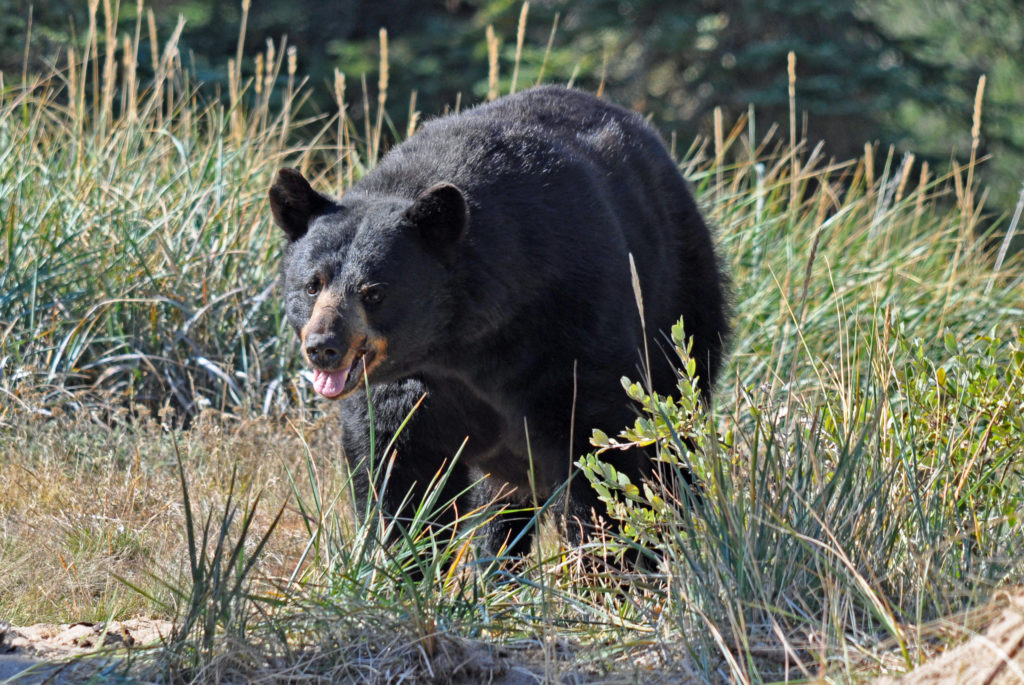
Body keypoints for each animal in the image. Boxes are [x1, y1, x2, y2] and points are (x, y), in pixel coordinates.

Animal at [268, 85, 728, 563]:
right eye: (312, 284)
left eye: (374, 292)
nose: (324, 346)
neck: (460, 345)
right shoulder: (406, 392)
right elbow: (398, 472)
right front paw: (406, 560)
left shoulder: (572, 328)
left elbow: (599, 451)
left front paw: (611, 560)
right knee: (503, 502)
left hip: (680, 305)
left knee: (672, 437)